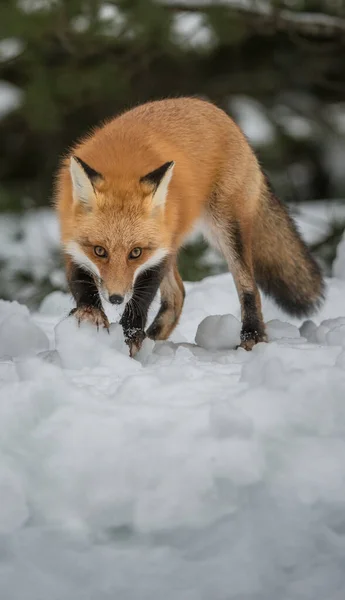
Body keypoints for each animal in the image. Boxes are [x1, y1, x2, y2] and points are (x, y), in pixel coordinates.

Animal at [53, 96, 322, 354]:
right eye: (99, 251)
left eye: (135, 253)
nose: (116, 298)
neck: (122, 166)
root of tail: (211, 108)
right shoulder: (71, 240)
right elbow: (80, 282)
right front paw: (91, 314)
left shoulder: (157, 253)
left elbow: (141, 300)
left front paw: (130, 335)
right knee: (178, 295)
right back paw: (154, 337)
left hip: (225, 230)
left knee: (249, 288)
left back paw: (252, 336)